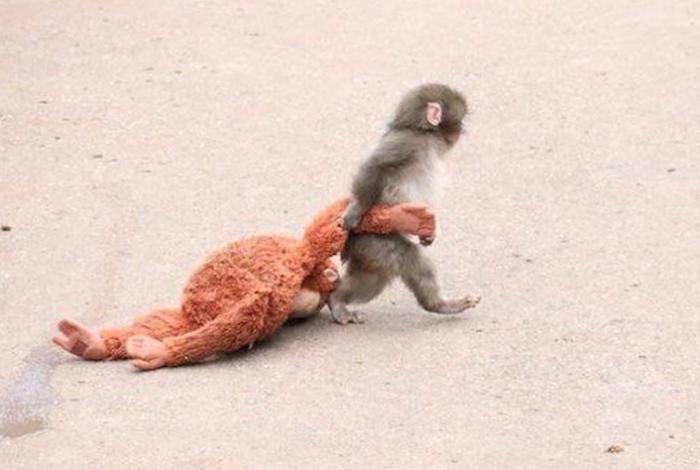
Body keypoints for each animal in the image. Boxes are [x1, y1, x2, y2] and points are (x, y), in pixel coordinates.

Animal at [329, 83, 481, 324]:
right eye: (461, 120)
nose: (462, 130)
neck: (422, 134)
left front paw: (429, 233)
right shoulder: (407, 144)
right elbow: (375, 165)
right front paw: (354, 211)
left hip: (369, 252)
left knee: (373, 279)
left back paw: (338, 297)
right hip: (374, 240)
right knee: (410, 259)